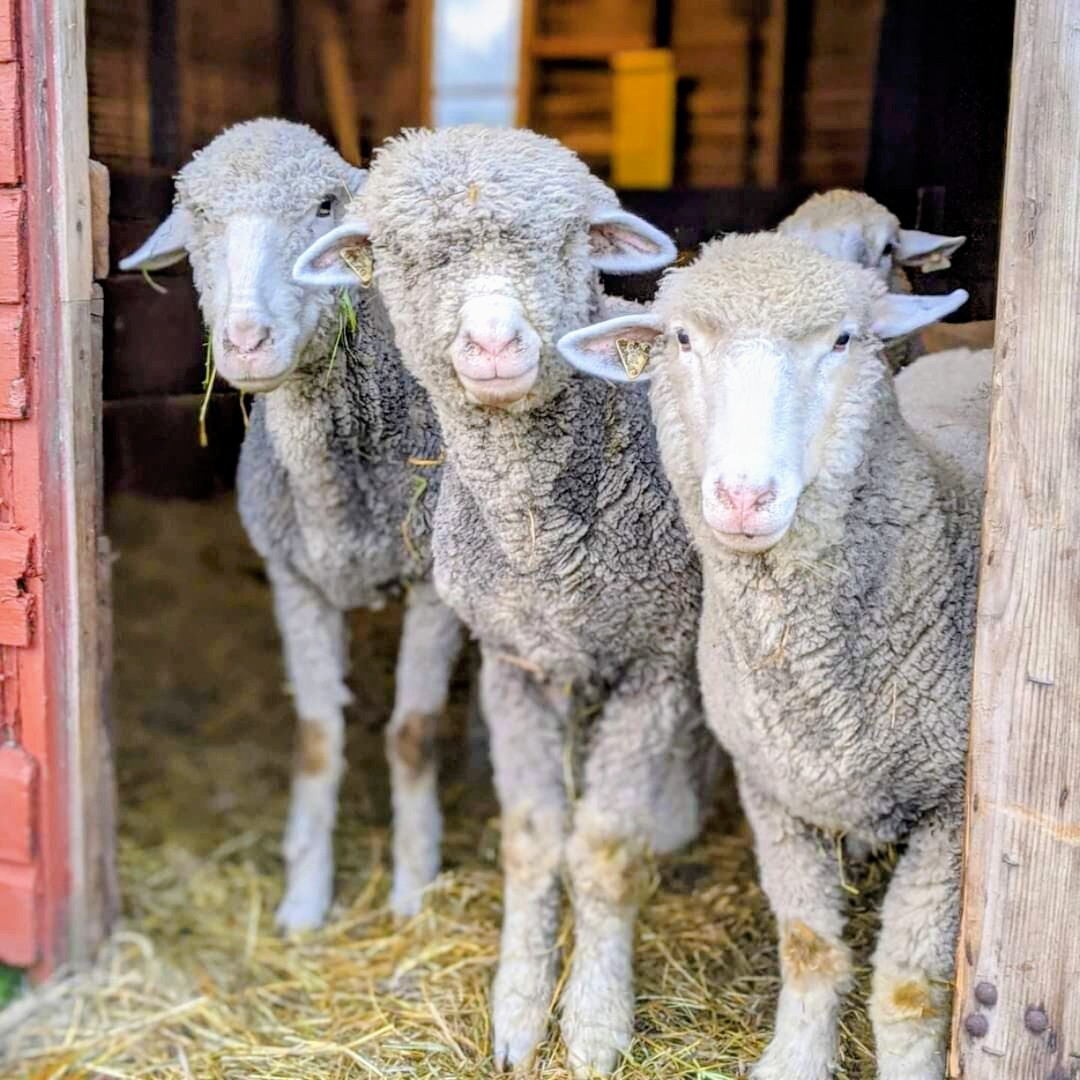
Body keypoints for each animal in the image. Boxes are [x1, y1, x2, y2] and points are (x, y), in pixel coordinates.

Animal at [119, 118, 464, 931]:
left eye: (325, 206)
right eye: (198, 215)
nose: (246, 341)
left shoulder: (433, 587)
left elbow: (412, 736)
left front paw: (413, 890)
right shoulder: (294, 580)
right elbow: (314, 739)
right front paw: (305, 900)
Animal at [292, 125, 714, 1076]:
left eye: (566, 241)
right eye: (406, 256)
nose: (491, 343)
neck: (543, 542)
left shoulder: (660, 658)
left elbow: (603, 848)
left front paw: (595, 1022)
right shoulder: (513, 661)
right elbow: (531, 840)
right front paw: (519, 1010)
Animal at [557, 231, 980, 1080]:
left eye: (843, 340)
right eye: (682, 340)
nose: (743, 497)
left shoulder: (951, 810)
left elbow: (909, 988)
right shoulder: (772, 792)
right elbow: (809, 946)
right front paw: (795, 1058)